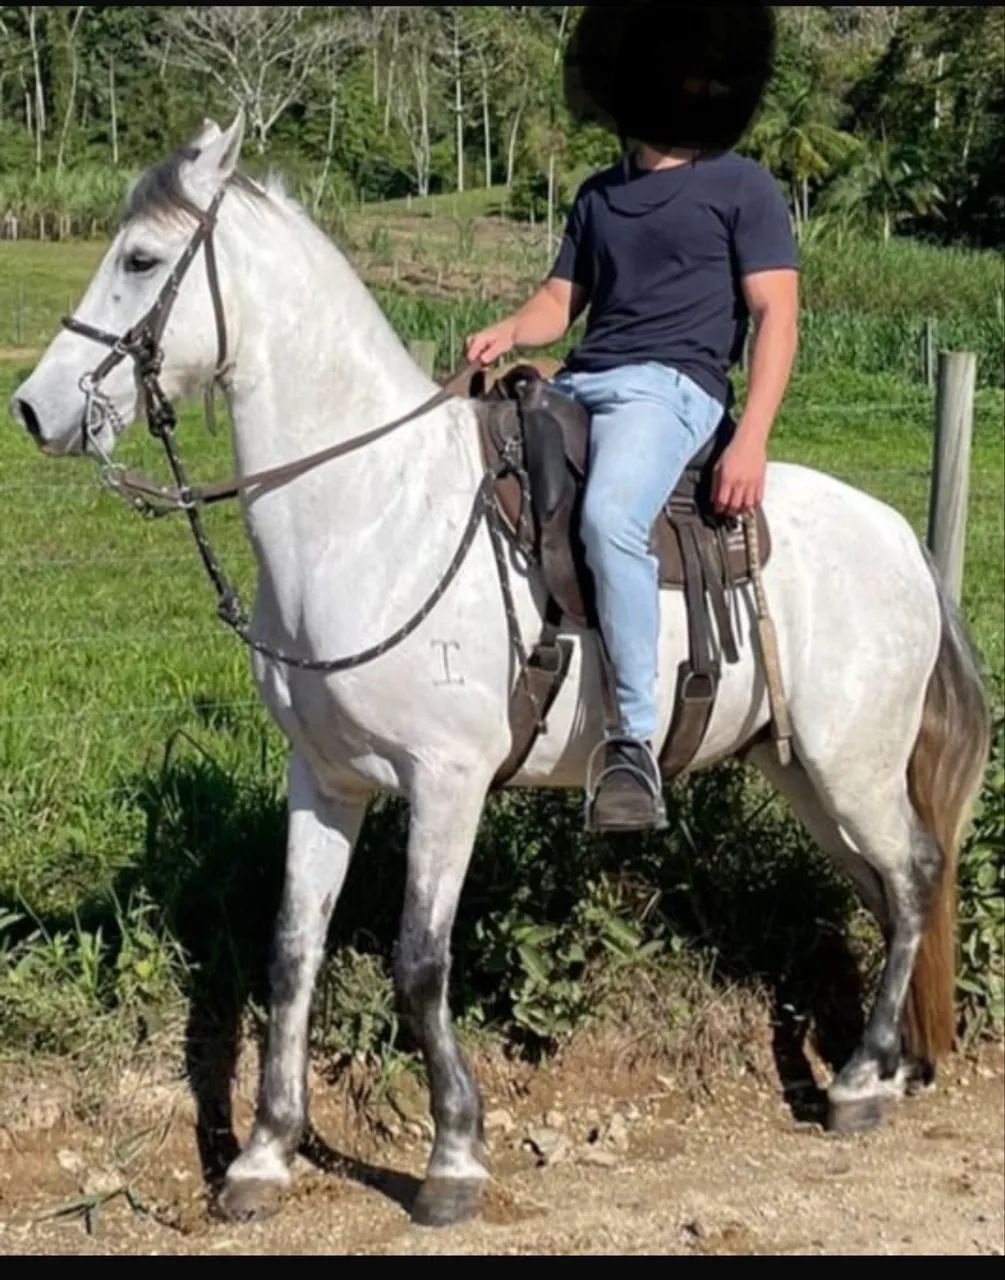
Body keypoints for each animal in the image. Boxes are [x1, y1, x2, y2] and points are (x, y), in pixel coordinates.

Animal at [10, 116, 990, 1229]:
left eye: (138, 260)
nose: (34, 408)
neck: (372, 511)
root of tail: (900, 539)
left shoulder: (446, 781)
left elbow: (419, 961)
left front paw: (453, 1154)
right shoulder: (325, 779)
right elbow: (293, 951)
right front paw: (263, 1154)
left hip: (849, 765)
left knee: (912, 876)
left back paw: (860, 1081)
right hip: (802, 771)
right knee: (887, 888)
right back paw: (890, 1065)